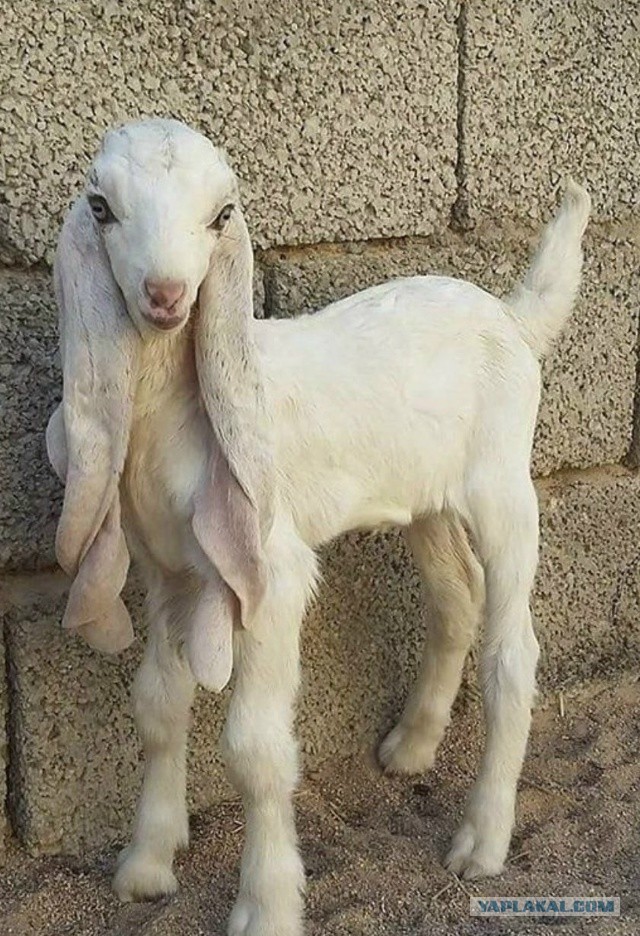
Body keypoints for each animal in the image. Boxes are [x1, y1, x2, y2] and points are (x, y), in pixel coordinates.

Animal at [46, 117, 590, 936]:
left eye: (222, 215)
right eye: (101, 207)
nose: (167, 296)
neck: (175, 408)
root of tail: (511, 316)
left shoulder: (268, 572)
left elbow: (255, 748)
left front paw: (267, 904)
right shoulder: (167, 570)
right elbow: (157, 709)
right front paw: (145, 866)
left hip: (503, 483)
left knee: (512, 651)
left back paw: (481, 841)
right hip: (424, 497)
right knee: (455, 598)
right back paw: (411, 748)